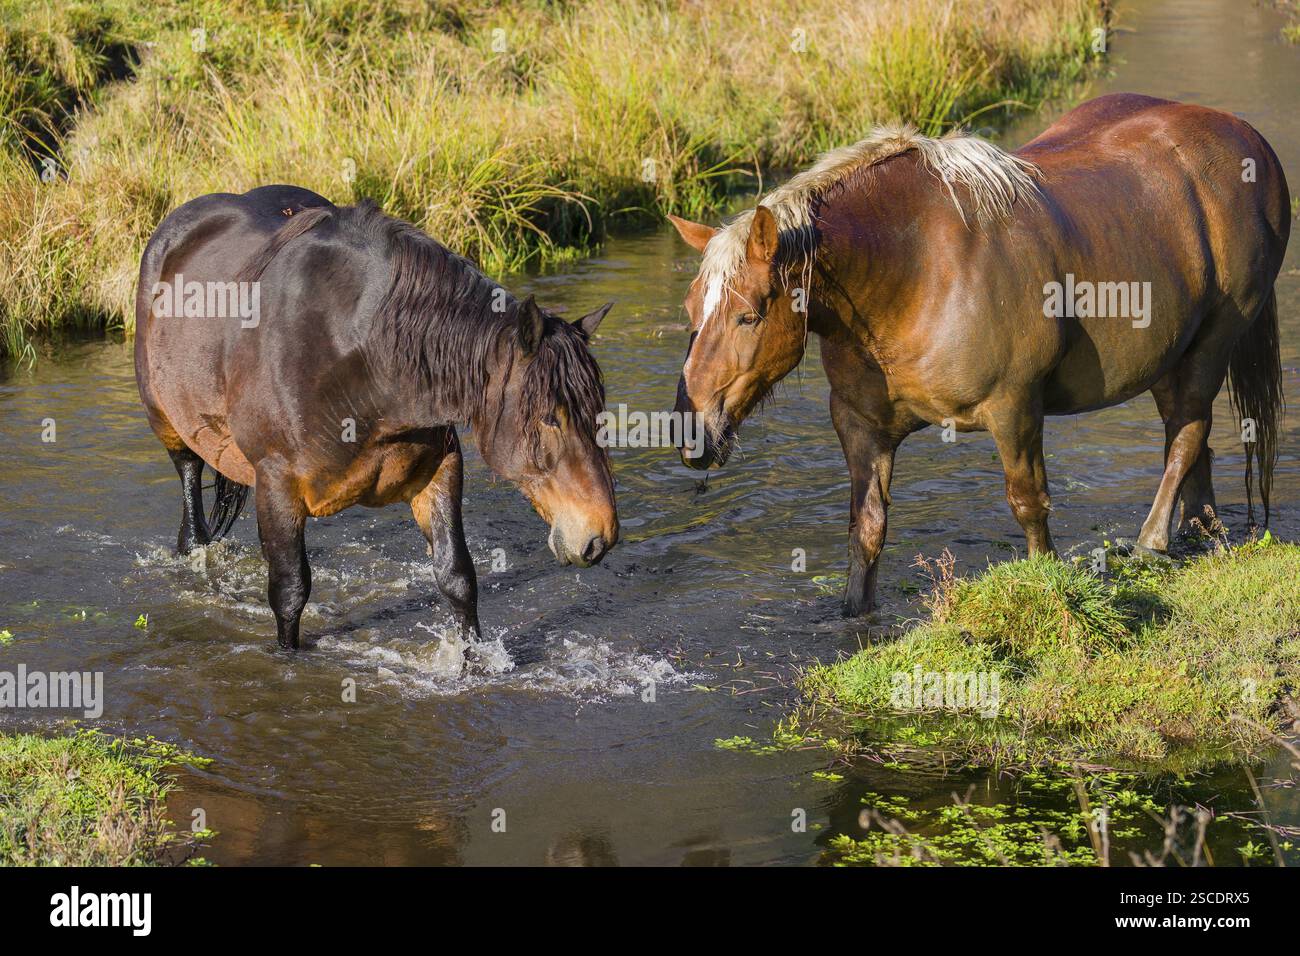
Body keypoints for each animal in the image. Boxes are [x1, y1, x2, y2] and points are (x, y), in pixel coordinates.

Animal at [135, 185, 618, 648]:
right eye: (550, 418)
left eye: (596, 411)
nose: (600, 536)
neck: (365, 361)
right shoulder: (276, 485)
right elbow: (289, 593)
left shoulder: (441, 470)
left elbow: (457, 577)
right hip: (172, 430)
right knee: (192, 512)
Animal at [667, 93, 1289, 616]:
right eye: (691, 307)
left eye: (749, 315)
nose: (692, 436)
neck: (915, 271)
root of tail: (1248, 137)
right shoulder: (859, 424)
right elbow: (866, 529)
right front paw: (853, 618)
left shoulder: (1014, 408)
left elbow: (1029, 505)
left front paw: (1048, 591)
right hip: (1170, 355)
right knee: (1193, 445)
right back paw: (1199, 532)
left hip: (1214, 341)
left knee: (1187, 436)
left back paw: (1152, 543)